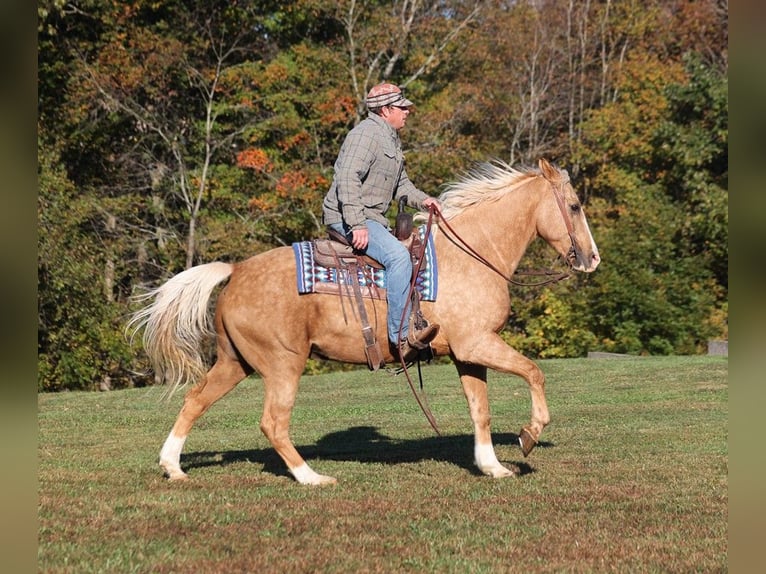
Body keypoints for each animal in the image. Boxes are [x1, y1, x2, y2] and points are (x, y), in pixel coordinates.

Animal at [130, 158, 600, 486]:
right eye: (574, 205)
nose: (592, 258)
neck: (472, 254)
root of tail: (237, 269)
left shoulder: (467, 353)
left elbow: (479, 410)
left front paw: (492, 466)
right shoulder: (478, 344)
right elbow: (534, 372)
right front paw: (530, 434)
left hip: (235, 362)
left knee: (195, 400)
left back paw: (173, 467)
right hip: (283, 365)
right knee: (273, 423)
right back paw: (312, 477)